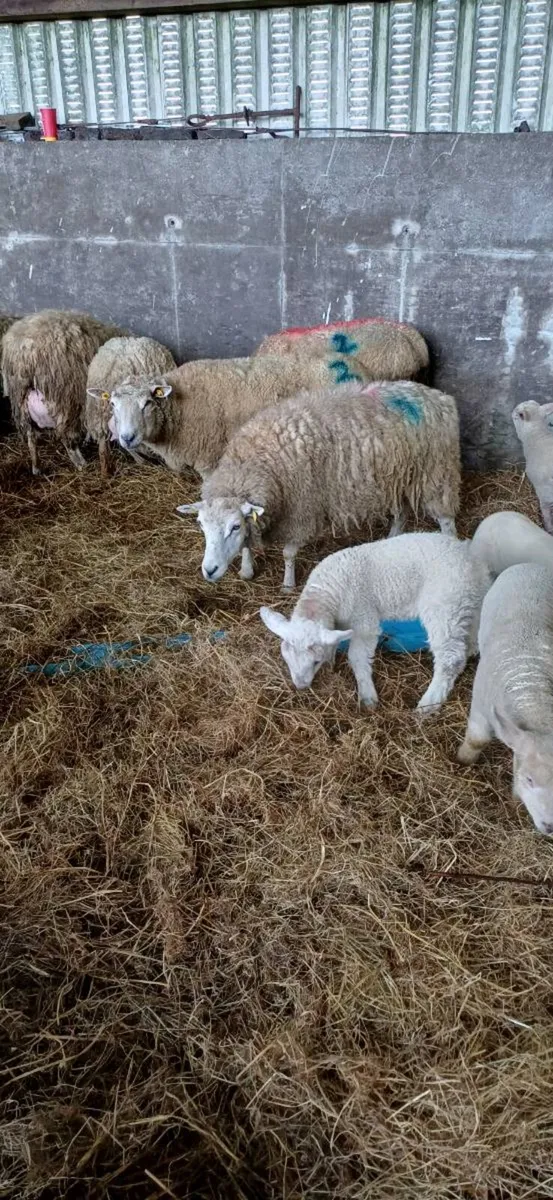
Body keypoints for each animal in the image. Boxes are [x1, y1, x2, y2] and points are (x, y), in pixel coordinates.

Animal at [2, 309, 125, 474]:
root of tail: (25, 355)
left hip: (21, 400)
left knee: (30, 436)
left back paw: (36, 467)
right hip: (67, 398)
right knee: (66, 437)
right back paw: (81, 463)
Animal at [108, 351, 405, 480]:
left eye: (147, 403)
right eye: (113, 405)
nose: (127, 438)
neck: (180, 406)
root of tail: (359, 367)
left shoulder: (209, 458)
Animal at [176, 380, 461, 590]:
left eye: (235, 526)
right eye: (201, 525)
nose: (209, 570)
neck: (256, 461)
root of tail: (440, 397)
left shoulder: (301, 511)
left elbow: (289, 554)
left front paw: (288, 585)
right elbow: (248, 544)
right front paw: (247, 569)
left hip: (437, 472)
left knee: (446, 520)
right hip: (398, 477)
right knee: (401, 512)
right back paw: (391, 538)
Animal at [259, 532, 490, 710]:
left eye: (315, 662)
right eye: (286, 659)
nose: (301, 686)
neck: (324, 595)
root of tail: (469, 556)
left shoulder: (364, 619)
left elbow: (357, 656)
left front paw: (367, 696)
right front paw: (332, 660)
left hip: (445, 604)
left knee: (450, 658)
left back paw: (428, 704)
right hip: (470, 601)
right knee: (471, 635)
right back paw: (470, 652)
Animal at [458, 563, 553, 834]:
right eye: (529, 779)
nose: (550, 827)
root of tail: (533, 565)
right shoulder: (480, 708)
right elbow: (477, 740)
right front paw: (462, 761)